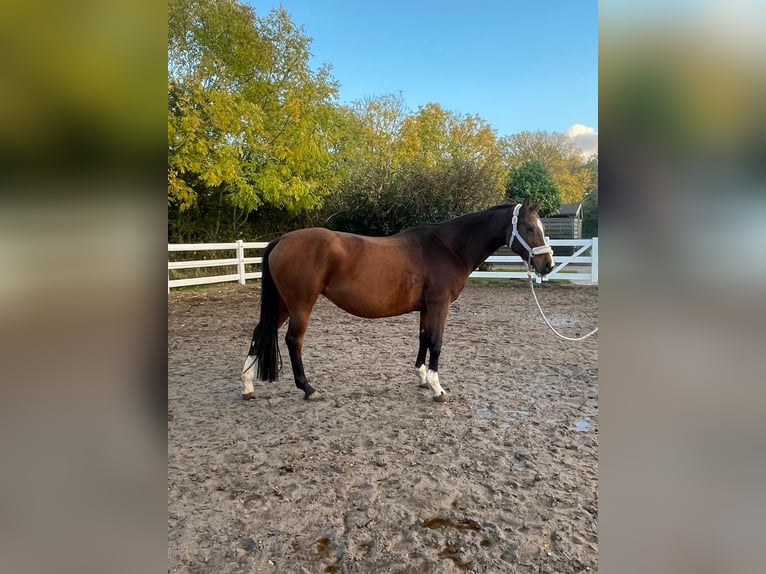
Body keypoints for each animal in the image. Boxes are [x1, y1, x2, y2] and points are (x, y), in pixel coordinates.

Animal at [240, 200, 552, 402]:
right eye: (528, 228)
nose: (547, 264)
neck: (447, 247)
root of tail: (282, 240)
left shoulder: (427, 308)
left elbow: (423, 338)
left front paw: (423, 378)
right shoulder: (440, 305)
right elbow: (436, 343)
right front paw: (438, 389)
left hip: (283, 303)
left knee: (259, 332)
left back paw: (247, 386)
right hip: (300, 304)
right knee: (293, 341)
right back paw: (308, 388)